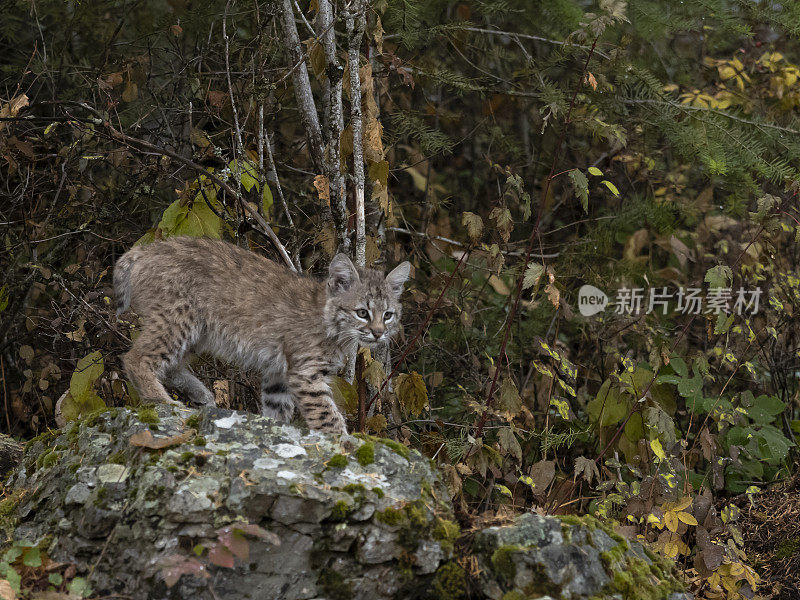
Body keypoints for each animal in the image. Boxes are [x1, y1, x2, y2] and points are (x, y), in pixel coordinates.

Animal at [113, 237, 412, 434]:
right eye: (362, 313)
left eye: (388, 315)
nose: (378, 334)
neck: (333, 325)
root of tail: (147, 248)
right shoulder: (305, 374)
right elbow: (327, 414)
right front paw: (344, 444)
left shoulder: (279, 372)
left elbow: (276, 408)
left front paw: (274, 430)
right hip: (179, 318)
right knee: (135, 358)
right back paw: (162, 403)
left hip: (198, 331)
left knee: (171, 365)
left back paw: (200, 396)